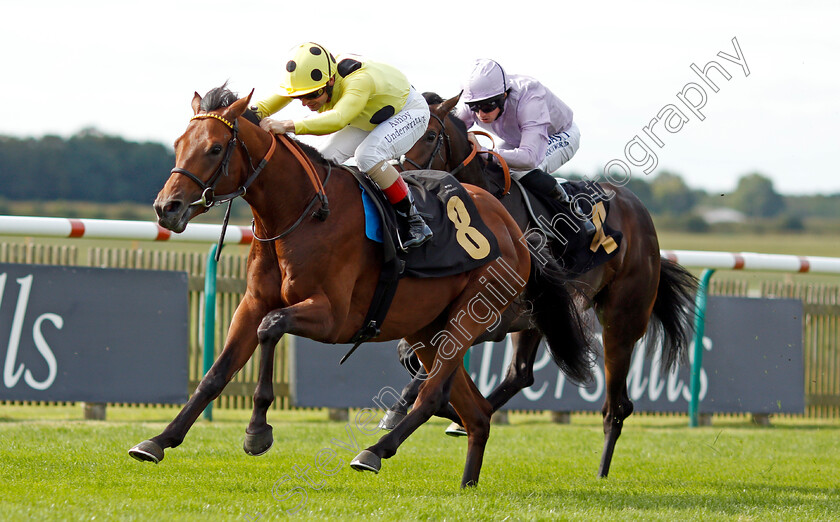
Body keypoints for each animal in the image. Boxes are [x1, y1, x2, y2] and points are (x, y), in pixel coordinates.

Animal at [126, 86, 592, 488]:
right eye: (177, 144)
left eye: (215, 148)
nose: (166, 208)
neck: (300, 212)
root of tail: (513, 228)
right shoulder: (251, 303)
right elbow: (216, 373)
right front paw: (159, 440)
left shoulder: (333, 317)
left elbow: (271, 328)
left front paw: (257, 431)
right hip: (427, 328)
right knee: (475, 412)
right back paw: (467, 484)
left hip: (469, 317)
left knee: (433, 392)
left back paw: (374, 451)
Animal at [390, 92, 700, 476]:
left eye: (430, 135)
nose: (403, 176)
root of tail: (640, 212)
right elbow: (413, 353)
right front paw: (419, 404)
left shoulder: (494, 313)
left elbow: (433, 354)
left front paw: (414, 405)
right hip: (543, 316)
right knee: (521, 373)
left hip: (621, 319)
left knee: (616, 405)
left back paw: (602, 471)